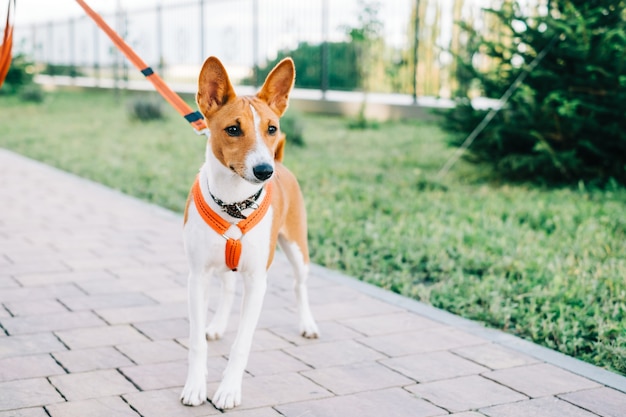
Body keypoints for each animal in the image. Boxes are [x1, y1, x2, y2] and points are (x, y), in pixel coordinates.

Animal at [179, 56, 320, 410]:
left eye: (271, 128)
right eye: (233, 129)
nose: (264, 171)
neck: (234, 203)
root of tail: (281, 163)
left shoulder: (257, 281)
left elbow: (241, 345)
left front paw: (229, 390)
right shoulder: (197, 276)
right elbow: (196, 342)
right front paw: (195, 385)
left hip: (298, 249)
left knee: (300, 286)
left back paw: (307, 324)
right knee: (228, 288)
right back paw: (217, 325)